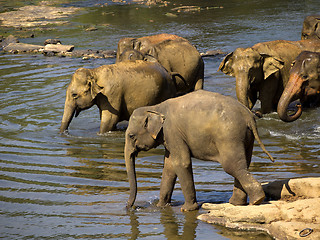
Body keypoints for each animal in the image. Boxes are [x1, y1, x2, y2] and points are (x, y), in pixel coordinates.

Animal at [124, 90, 274, 212]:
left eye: (131, 136)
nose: (131, 207)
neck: (155, 108)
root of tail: (249, 116)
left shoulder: (172, 132)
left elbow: (181, 163)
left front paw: (187, 209)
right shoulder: (169, 137)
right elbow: (169, 166)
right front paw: (161, 206)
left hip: (230, 136)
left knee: (232, 166)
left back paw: (256, 200)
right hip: (246, 138)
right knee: (243, 165)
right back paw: (237, 203)